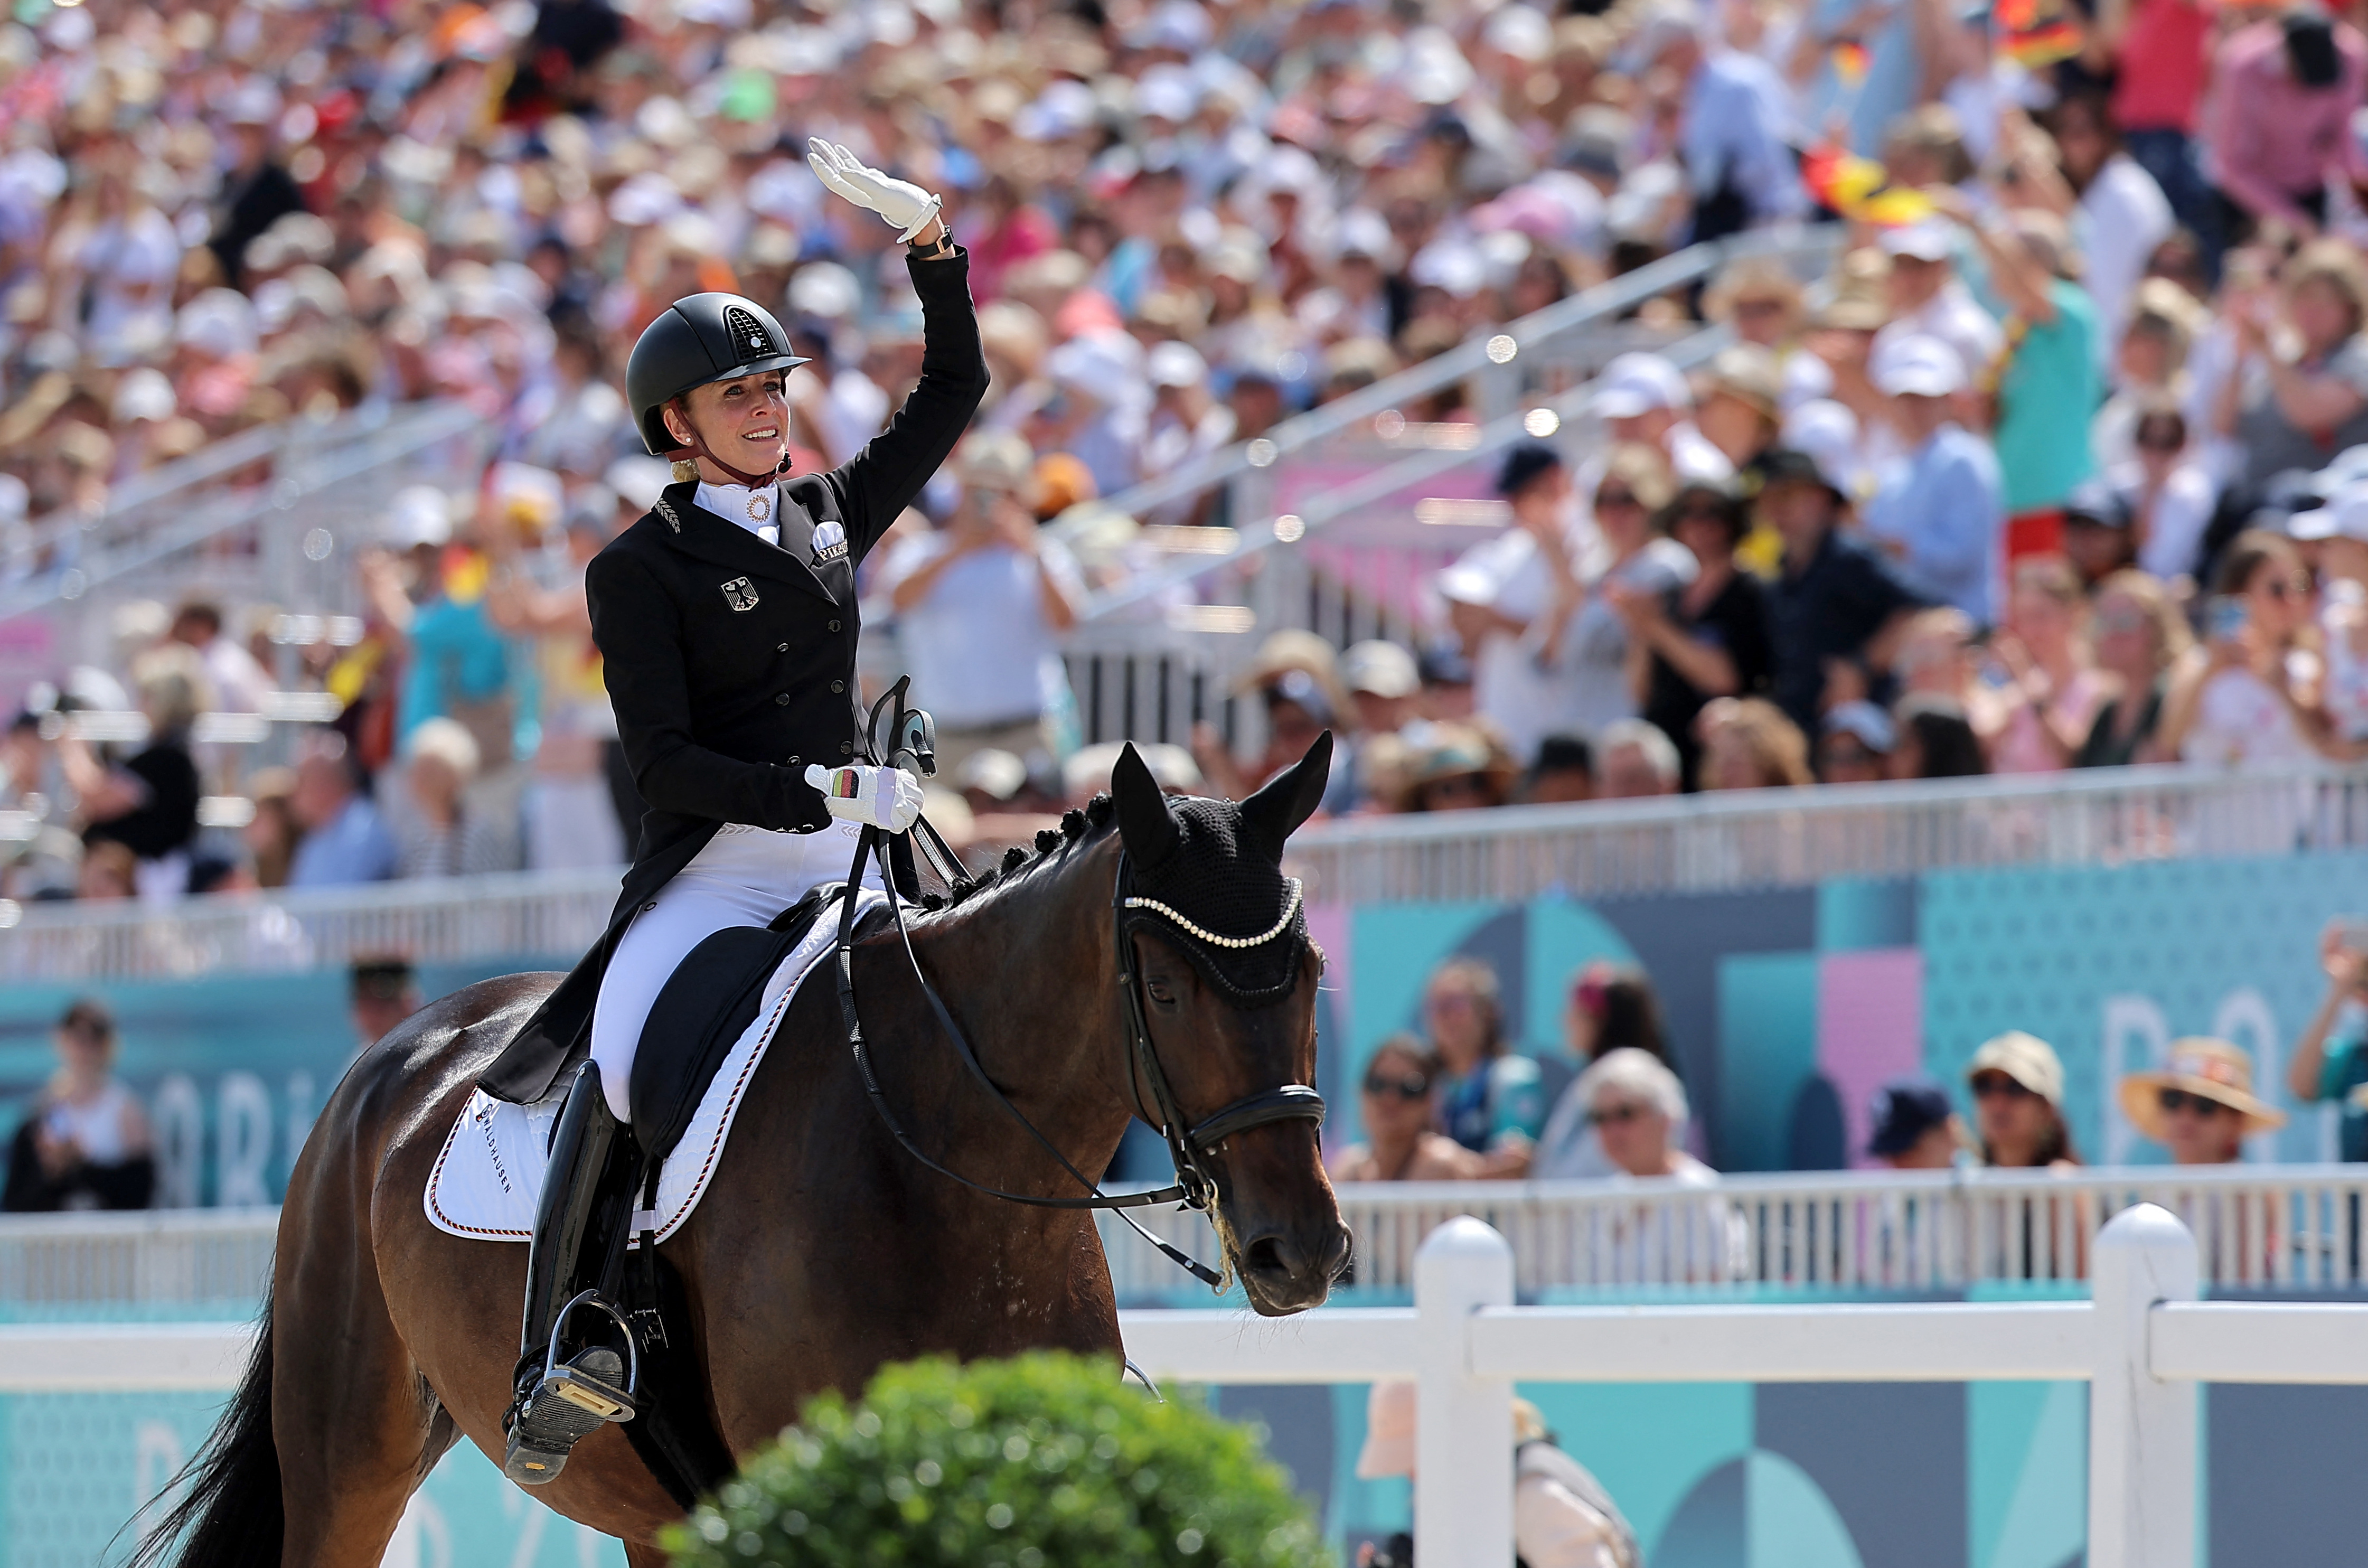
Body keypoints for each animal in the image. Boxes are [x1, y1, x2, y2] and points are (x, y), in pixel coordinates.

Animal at [134, 739, 1354, 1568]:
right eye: (1166, 986)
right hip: (347, 1454)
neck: (945, 1162)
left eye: (1307, 973)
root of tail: (403, 1048)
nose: (1300, 1250)